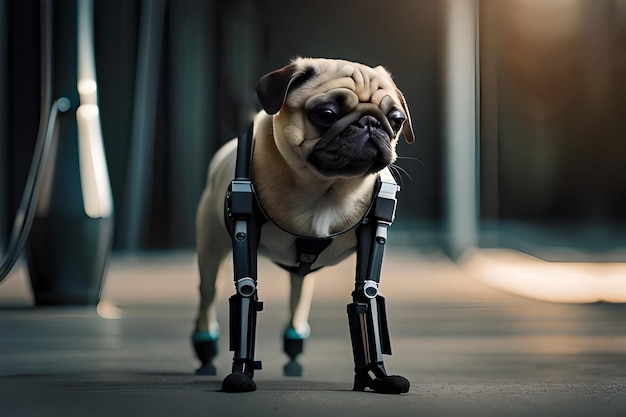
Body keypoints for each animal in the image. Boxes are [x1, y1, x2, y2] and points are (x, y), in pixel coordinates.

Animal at [193, 57, 412, 392]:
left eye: (396, 120)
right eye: (326, 114)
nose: (371, 123)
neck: (326, 190)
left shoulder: (373, 236)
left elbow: (366, 298)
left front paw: (376, 375)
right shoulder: (245, 234)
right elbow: (246, 294)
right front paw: (241, 373)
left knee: (300, 291)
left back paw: (294, 344)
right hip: (210, 247)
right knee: (207, 294)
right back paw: (205, 347)